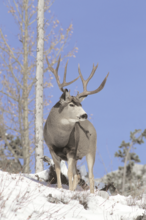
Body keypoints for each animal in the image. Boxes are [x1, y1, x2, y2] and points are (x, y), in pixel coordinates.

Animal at [44, 56, 109, 192]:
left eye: (81, 104)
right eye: (71, 104)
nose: (84, 115)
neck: (59, 139)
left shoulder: (71, 150)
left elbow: (69, 174)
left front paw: (68, 191)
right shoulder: (51, 148)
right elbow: (58, 170)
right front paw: (60, 188)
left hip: (91, 150)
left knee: (90, 176)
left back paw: (91, 193)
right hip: (78, 156)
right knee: (78, 175)